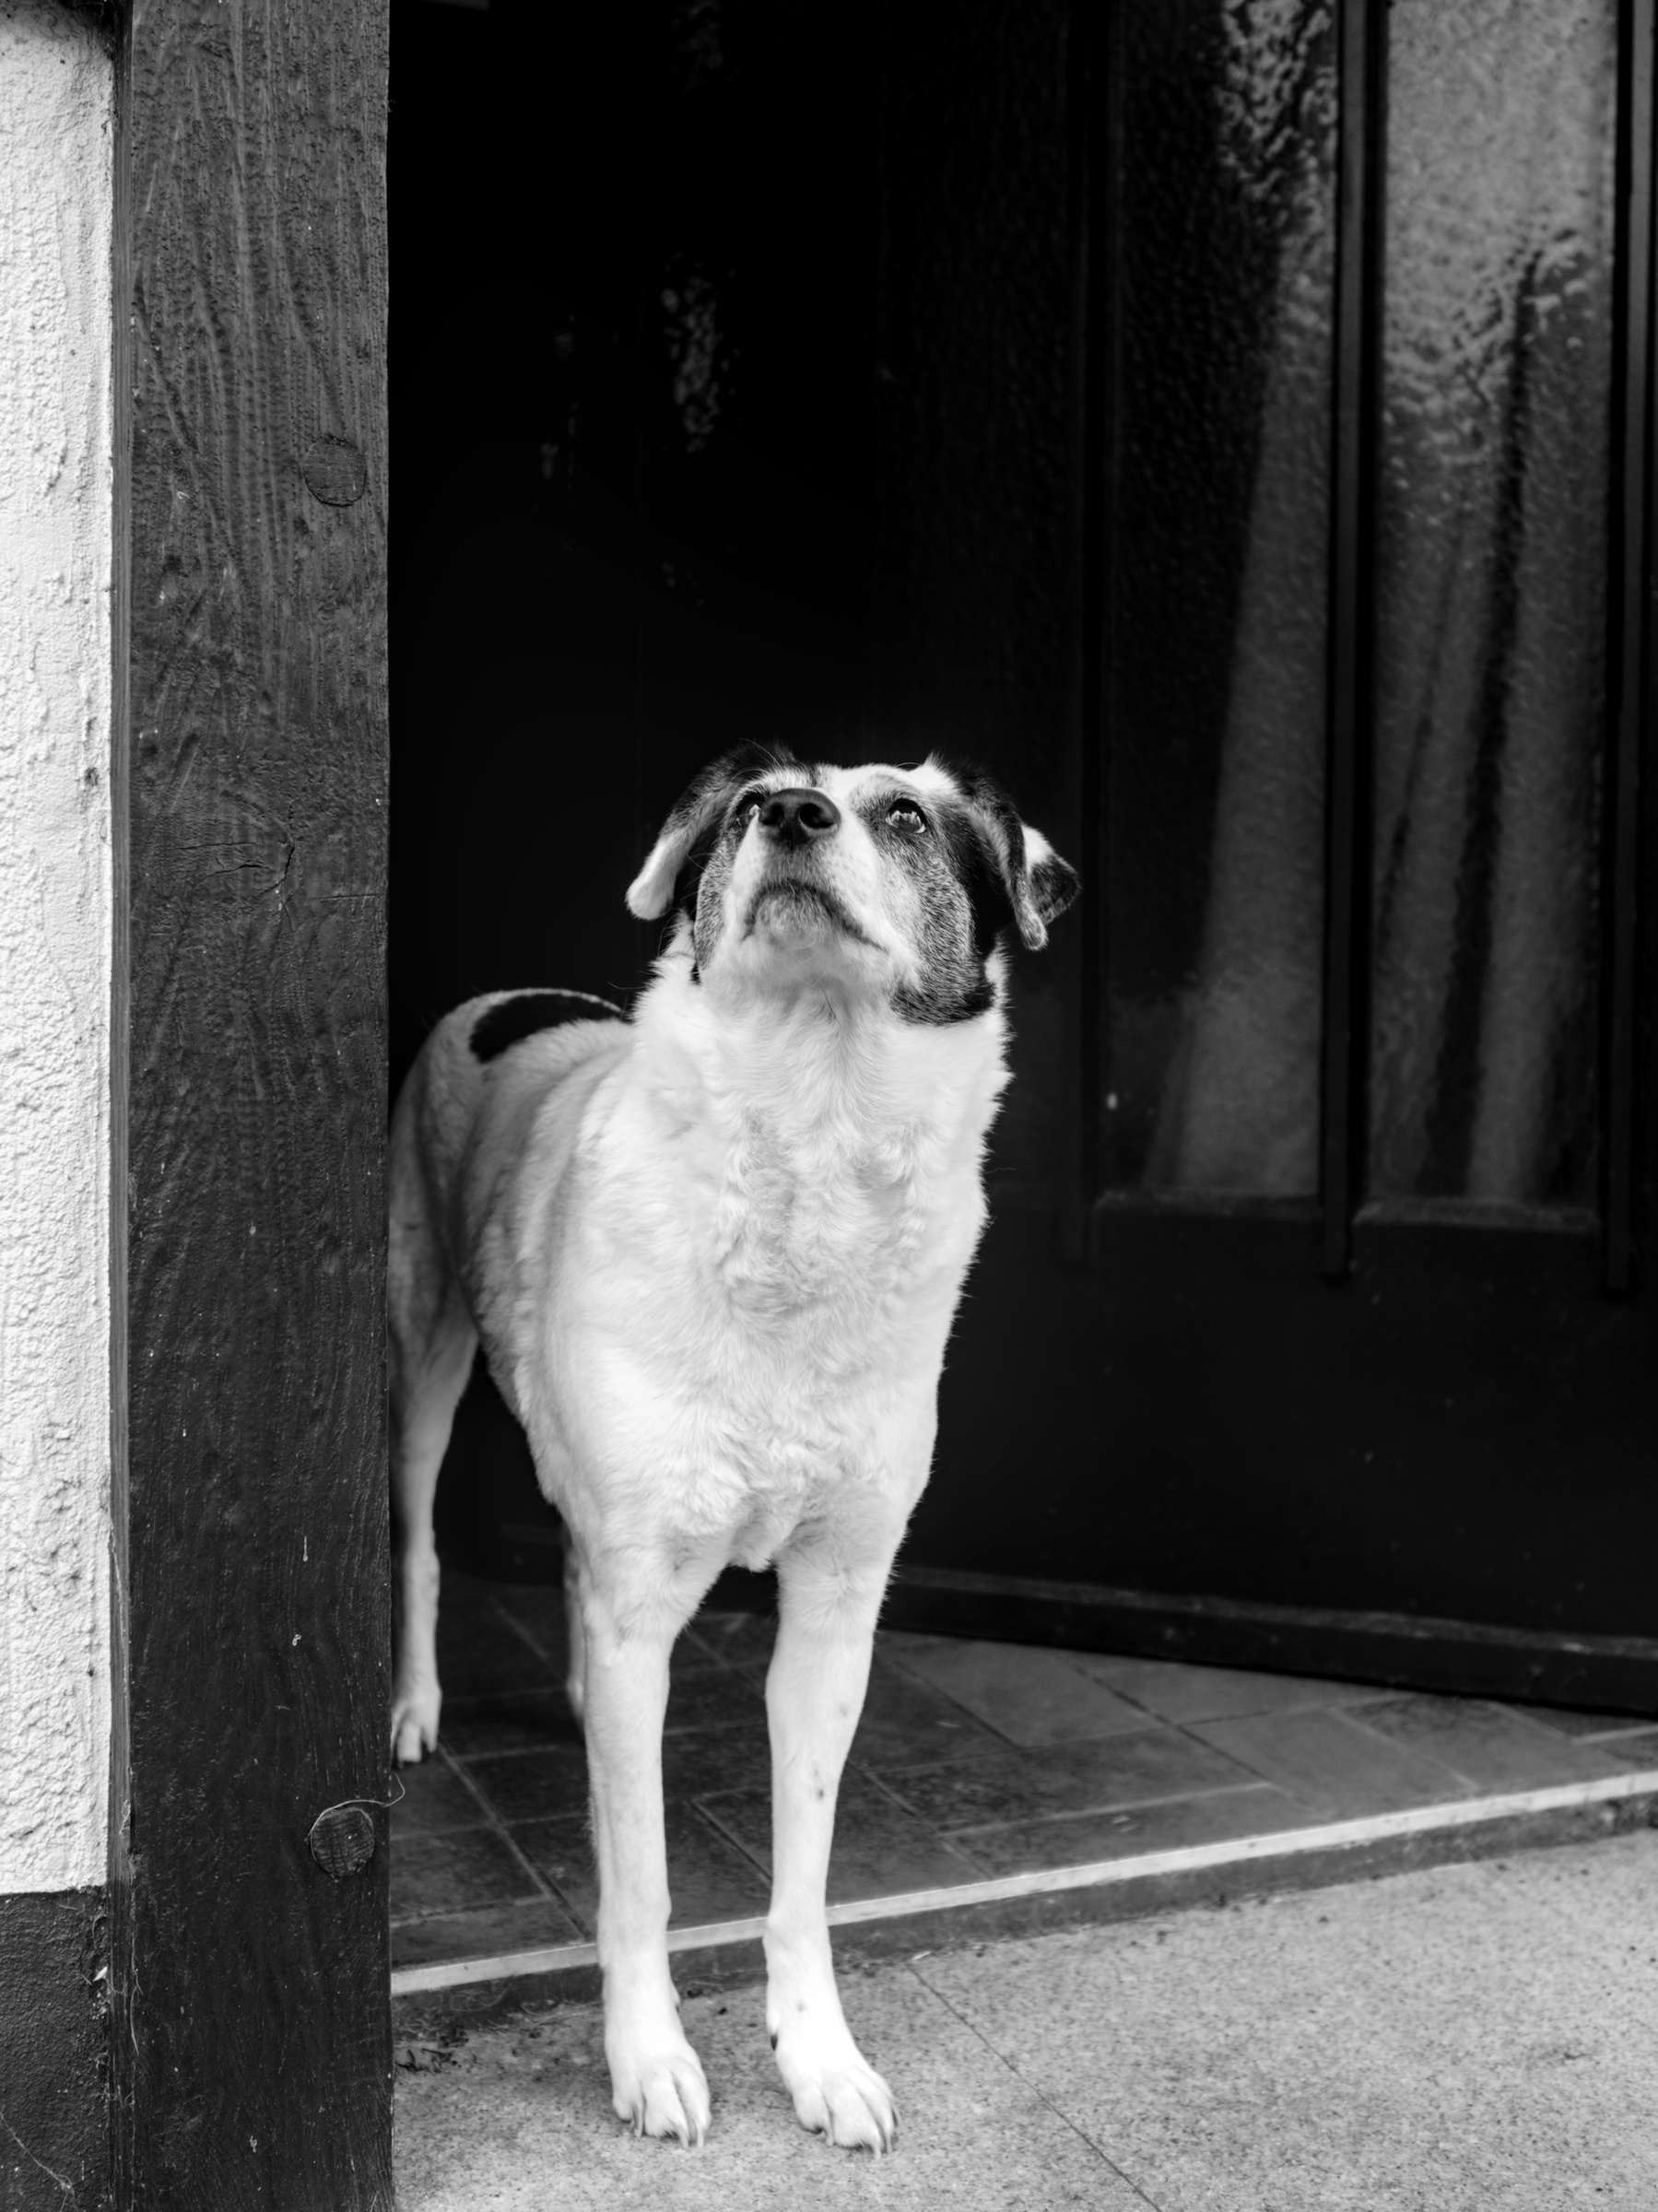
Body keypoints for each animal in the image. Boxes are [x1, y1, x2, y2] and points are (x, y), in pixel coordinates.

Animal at [389, 743, 1078, 2141]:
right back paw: (418, 1706)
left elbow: (802, 1876)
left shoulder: (834, 1607)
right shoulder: (645, 1586)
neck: (807, 1126)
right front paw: (649, 2061)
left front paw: (818, 2059)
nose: (790, 814)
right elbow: (641, 1876)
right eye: (755, 805)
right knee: (423, 1537)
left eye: (904, 816)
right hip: (421, 1334)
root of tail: (506, 995)